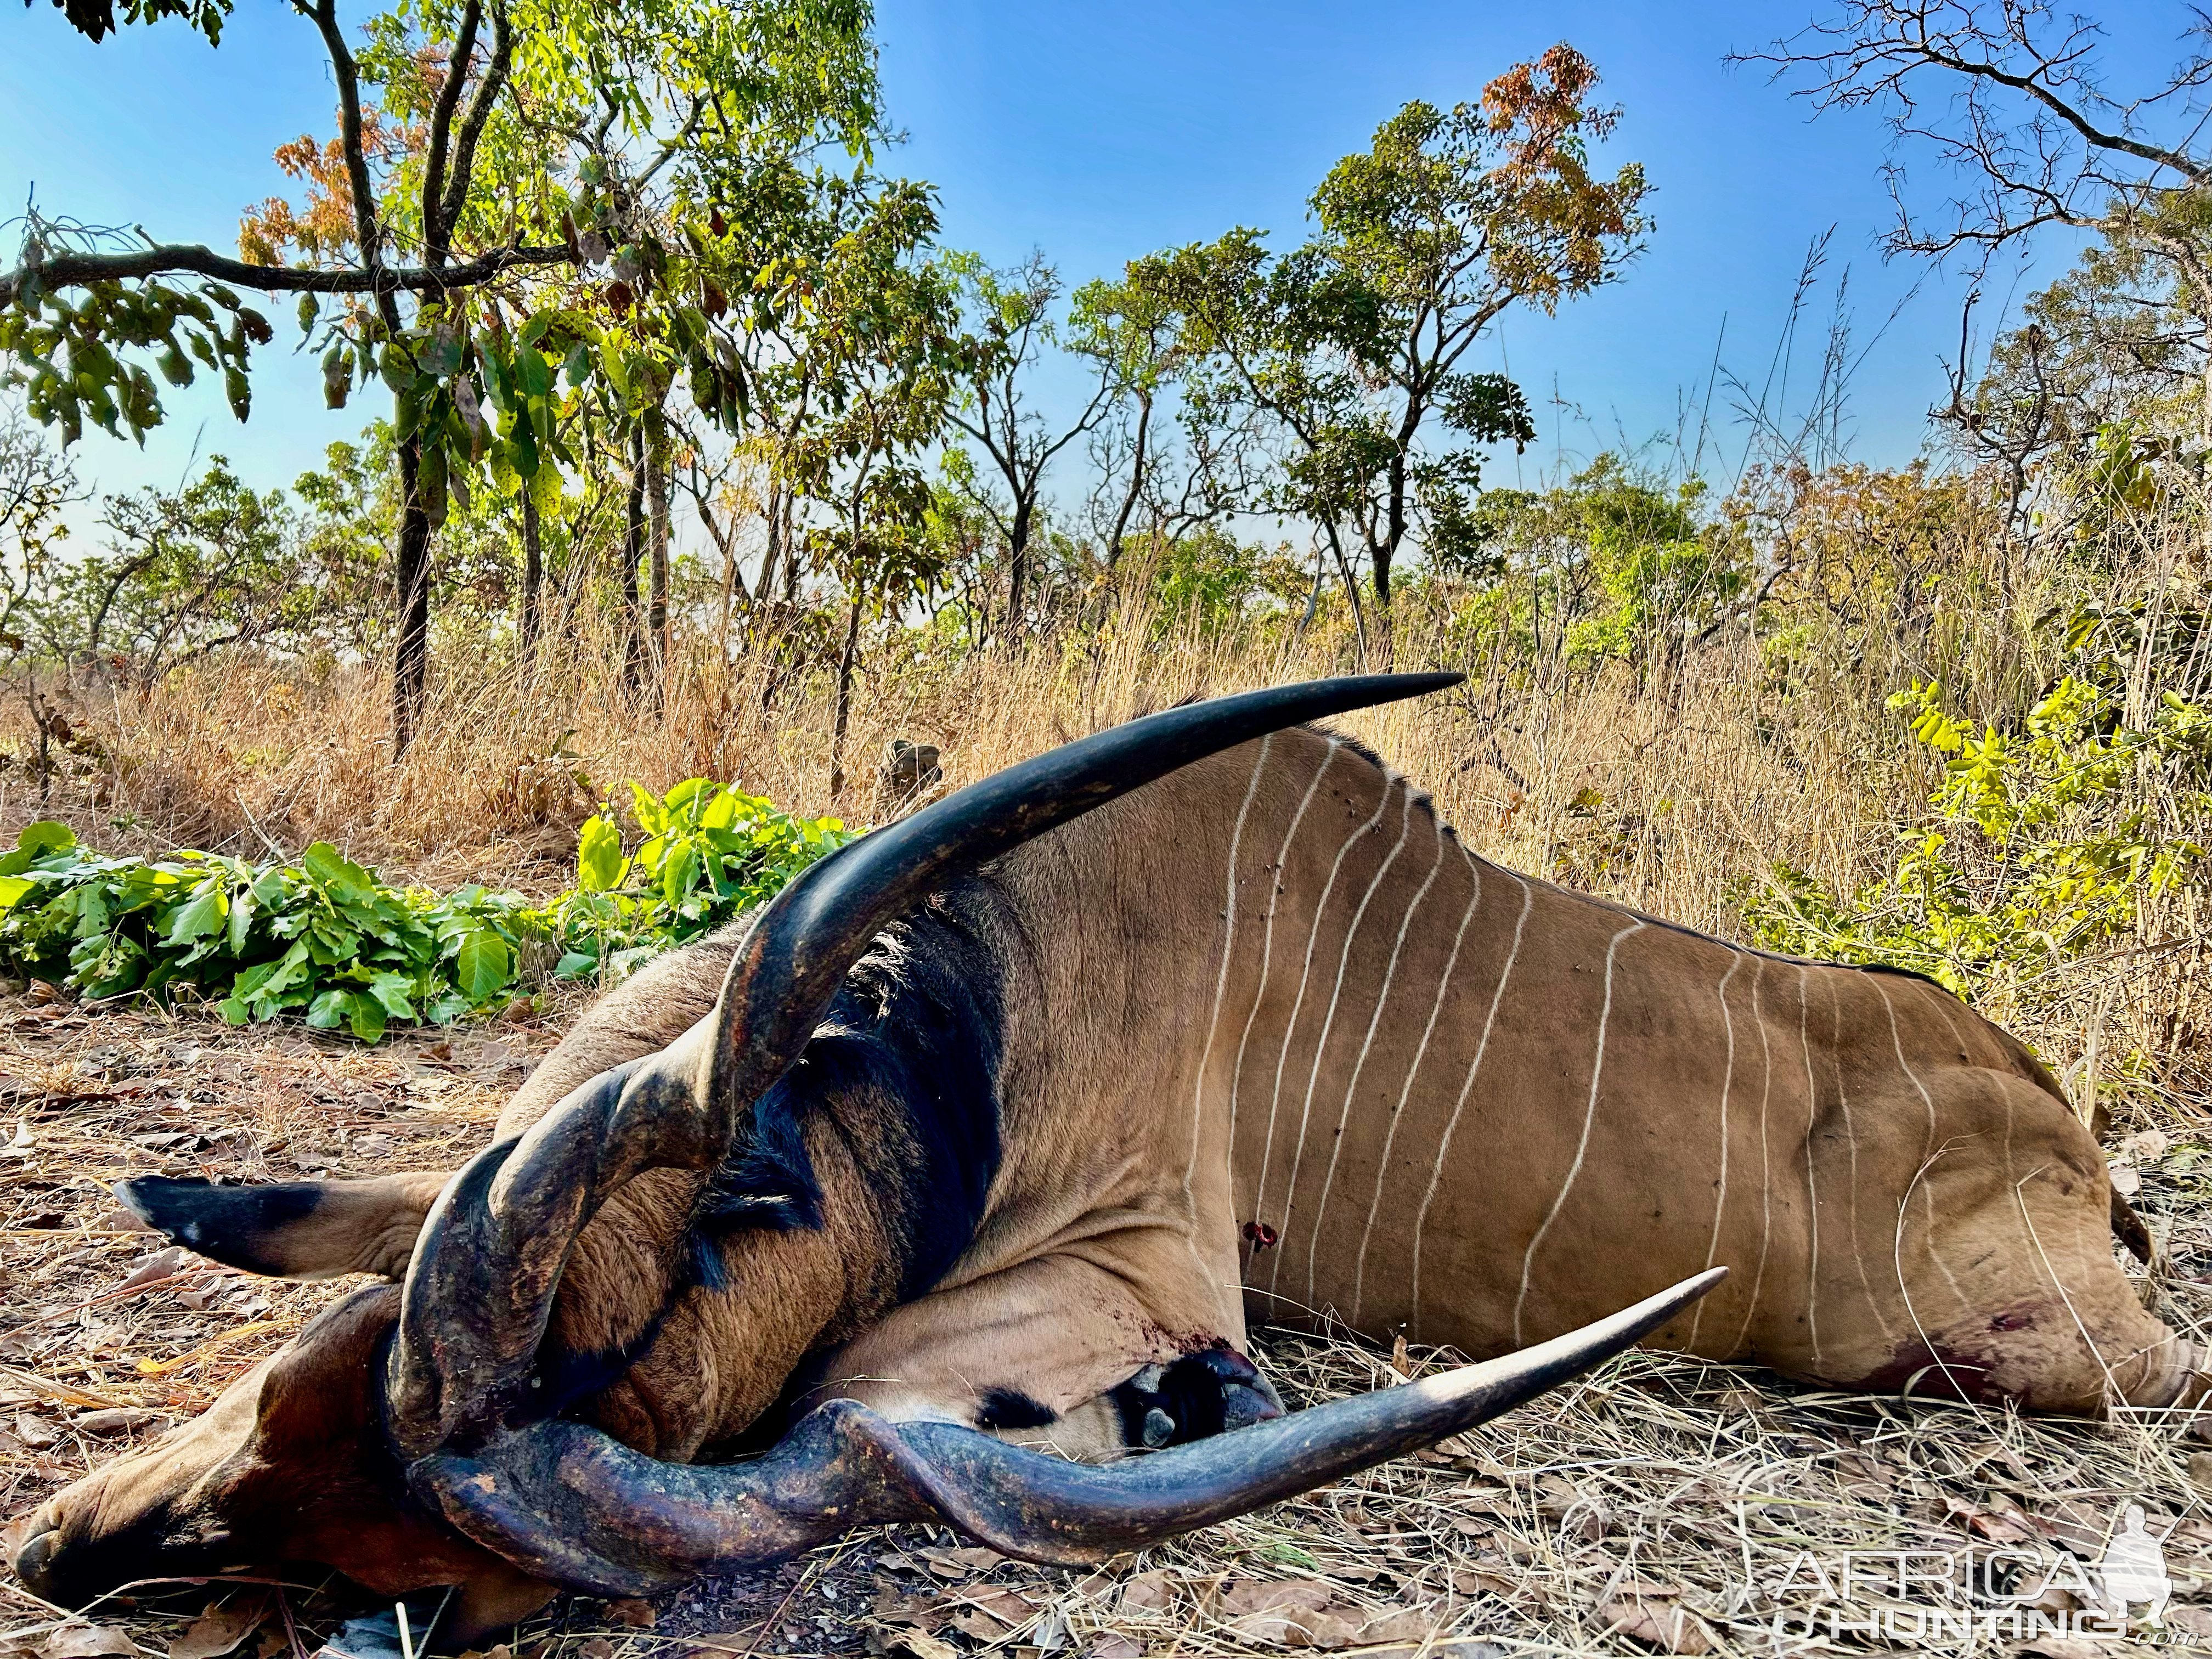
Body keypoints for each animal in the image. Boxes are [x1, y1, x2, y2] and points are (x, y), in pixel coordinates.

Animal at [13, 676, 2194, 1637]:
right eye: (285, 1392)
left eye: (433, 1607)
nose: (72, 1555)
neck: (978, 994)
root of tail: (2075, 1142)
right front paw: (187, 1198)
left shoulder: (1142, 1255)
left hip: (2044, 1354)